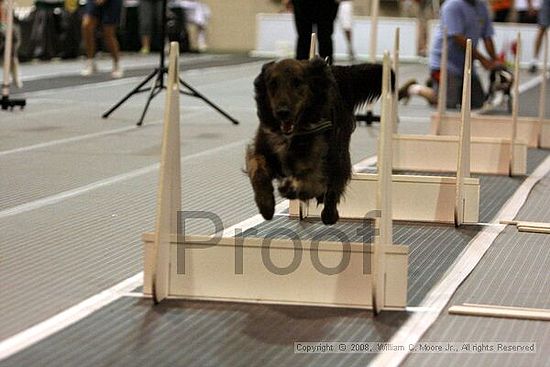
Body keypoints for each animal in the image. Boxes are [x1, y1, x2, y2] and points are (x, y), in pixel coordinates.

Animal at [246, 57, 388, 226]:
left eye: (297, 82)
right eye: (273, 84)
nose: (282, 112)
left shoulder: (322, 157)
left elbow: (313, 177)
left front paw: (295, 187)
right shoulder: (263, 148)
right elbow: (258, 169)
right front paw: (265, 204)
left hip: (339, 150)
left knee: (334, 183)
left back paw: (329, 214)